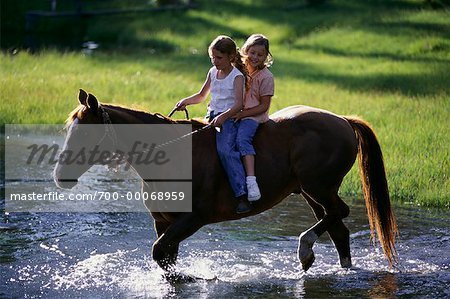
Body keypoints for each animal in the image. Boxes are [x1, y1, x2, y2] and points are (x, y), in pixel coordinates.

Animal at [53, 90, 398, 278]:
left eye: (85, 132)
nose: (60, 176)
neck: (174, 154)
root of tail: (343, 120)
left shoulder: (192, 219)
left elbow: (160, 252)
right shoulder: (163, 222)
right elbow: (165, 258)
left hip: (319, 187)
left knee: (338, 214)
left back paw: (305, 249)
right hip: (310, 192)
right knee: (338, 227)